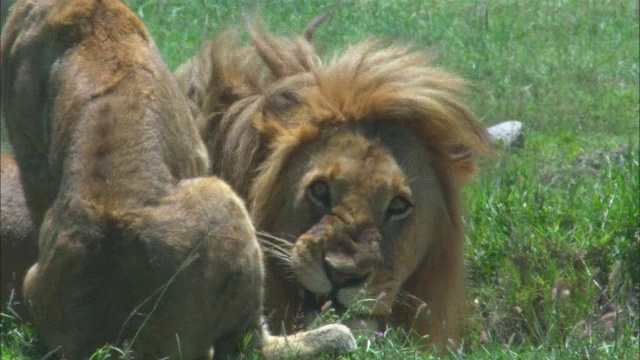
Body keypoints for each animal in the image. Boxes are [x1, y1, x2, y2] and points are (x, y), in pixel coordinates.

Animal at [1, 1, 356, 358]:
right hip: (222, 198)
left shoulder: (33, 166)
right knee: (250, 344)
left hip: (35, 280)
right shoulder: (198, 153)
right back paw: (336, 332)